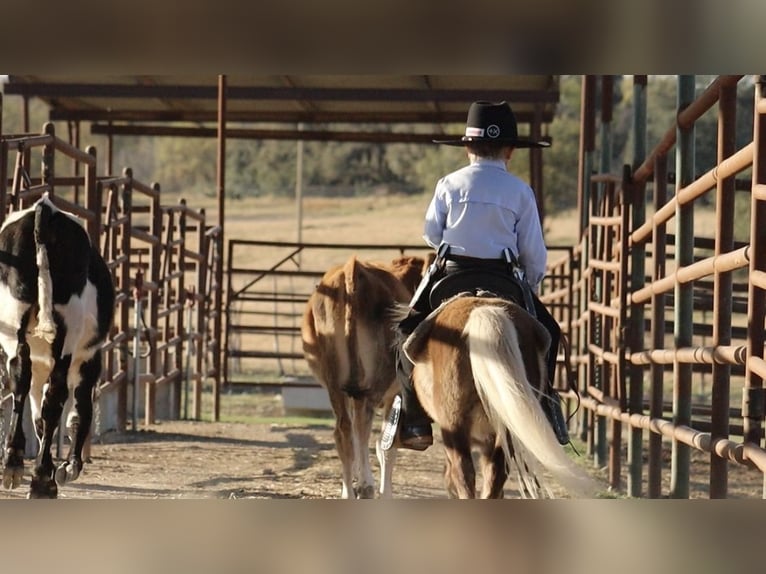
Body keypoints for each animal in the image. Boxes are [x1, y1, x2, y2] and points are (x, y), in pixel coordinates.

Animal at [301, 254, 427, 498]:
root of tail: (353, 269)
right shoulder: (395, 393)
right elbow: (387, 445)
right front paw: (384, 492)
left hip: (335, 384)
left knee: (344, 432)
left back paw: (349, 492)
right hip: (375, 383)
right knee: (363, 425)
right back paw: (366, 486)